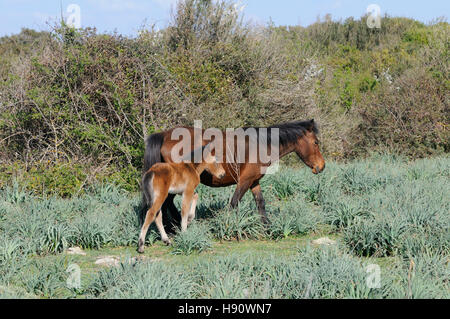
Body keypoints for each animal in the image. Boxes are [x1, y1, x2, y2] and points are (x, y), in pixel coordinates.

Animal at [143, 119, 324, 228]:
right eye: (316, 142)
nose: (321, 166)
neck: (260, 144)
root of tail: (165, 135)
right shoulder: (244, 181)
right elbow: (233, 203)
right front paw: (227, 226)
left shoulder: (253, 181)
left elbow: (260, 203)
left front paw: (267, 225)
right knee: (167, 204)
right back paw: (175, 226)